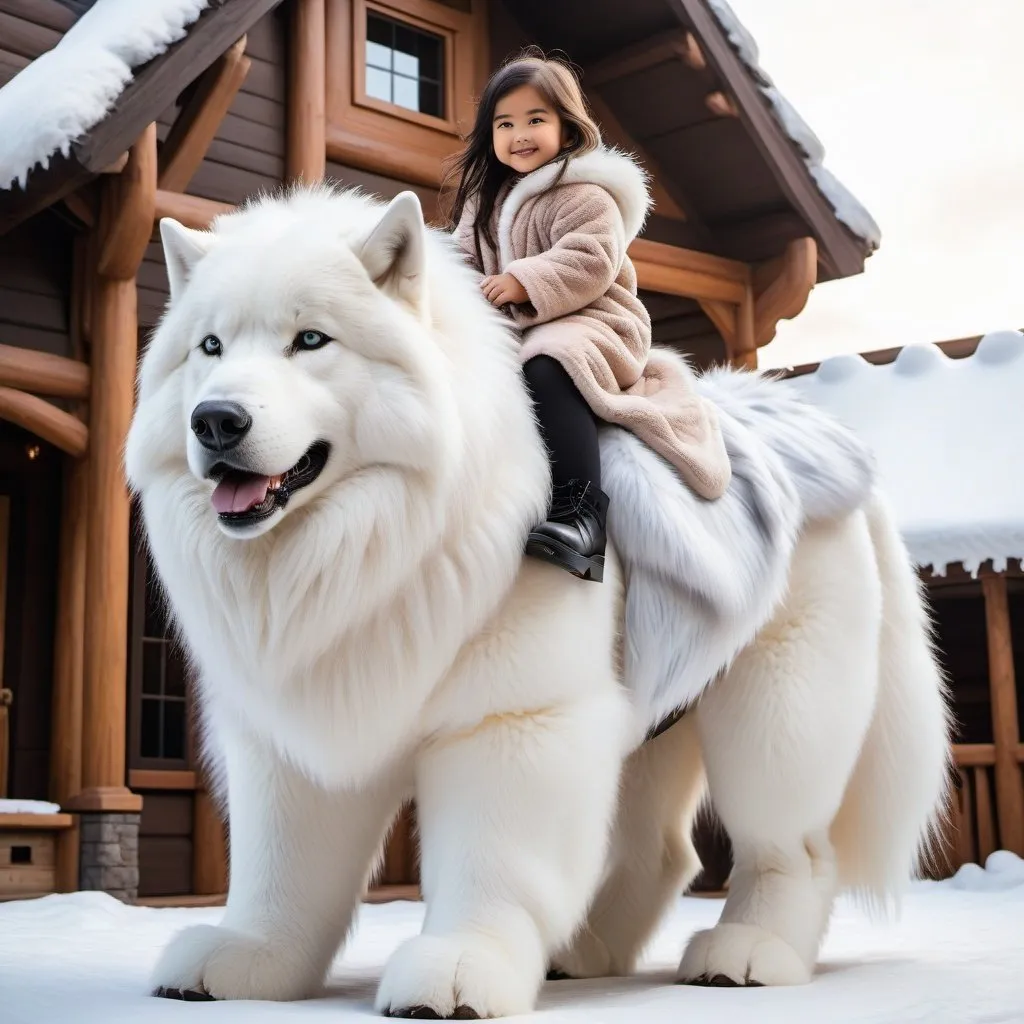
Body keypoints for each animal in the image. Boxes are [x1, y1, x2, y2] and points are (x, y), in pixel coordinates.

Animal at [125, 184, 950, 1015]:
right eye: (210, 348)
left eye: (311, 340)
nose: (216, 421)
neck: (372, 546)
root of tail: (835, 445)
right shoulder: (293, 729)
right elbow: (284, 868)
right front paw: (251, 960)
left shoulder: (513, 718)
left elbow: (492, 863)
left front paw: (459, 968)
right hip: (650, 705)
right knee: (659, 852)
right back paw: (583, 952)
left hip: (777, 713)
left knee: (793, 847)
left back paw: (747, 952)